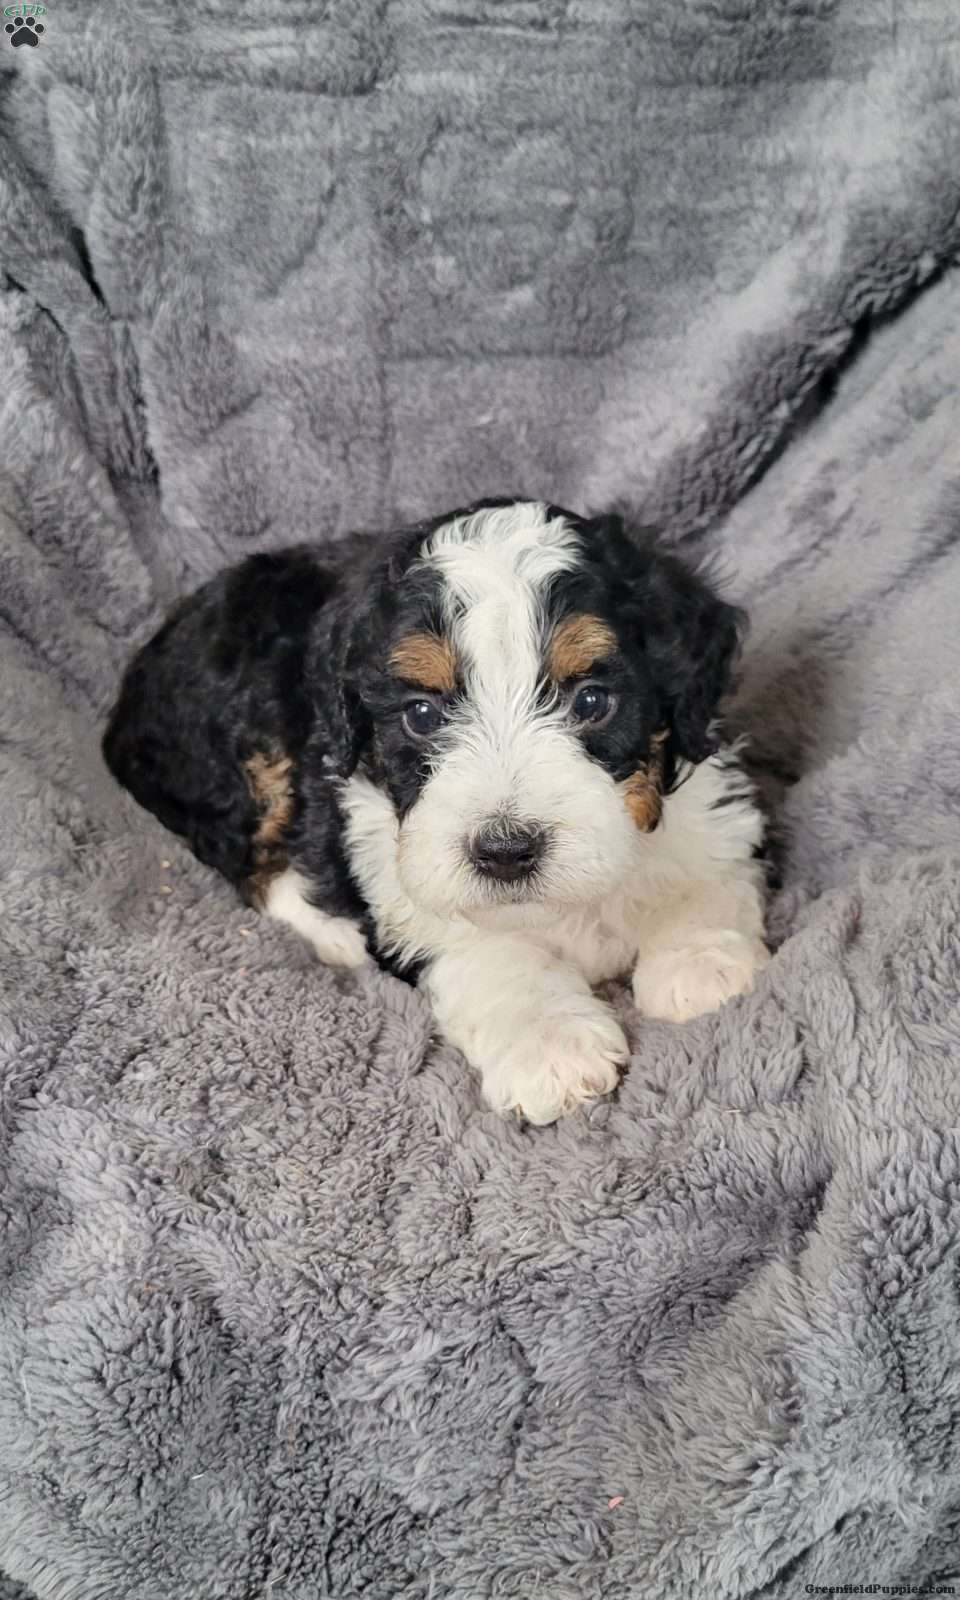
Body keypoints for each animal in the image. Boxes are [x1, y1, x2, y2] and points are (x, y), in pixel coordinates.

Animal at [103, 498, 769, 1123]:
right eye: (421, 715)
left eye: (591, 701)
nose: (505, 852)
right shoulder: (394, 876)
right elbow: (485, 950)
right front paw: (550, 1044)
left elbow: (705, 869)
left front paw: (700, 960)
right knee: (255, 864)